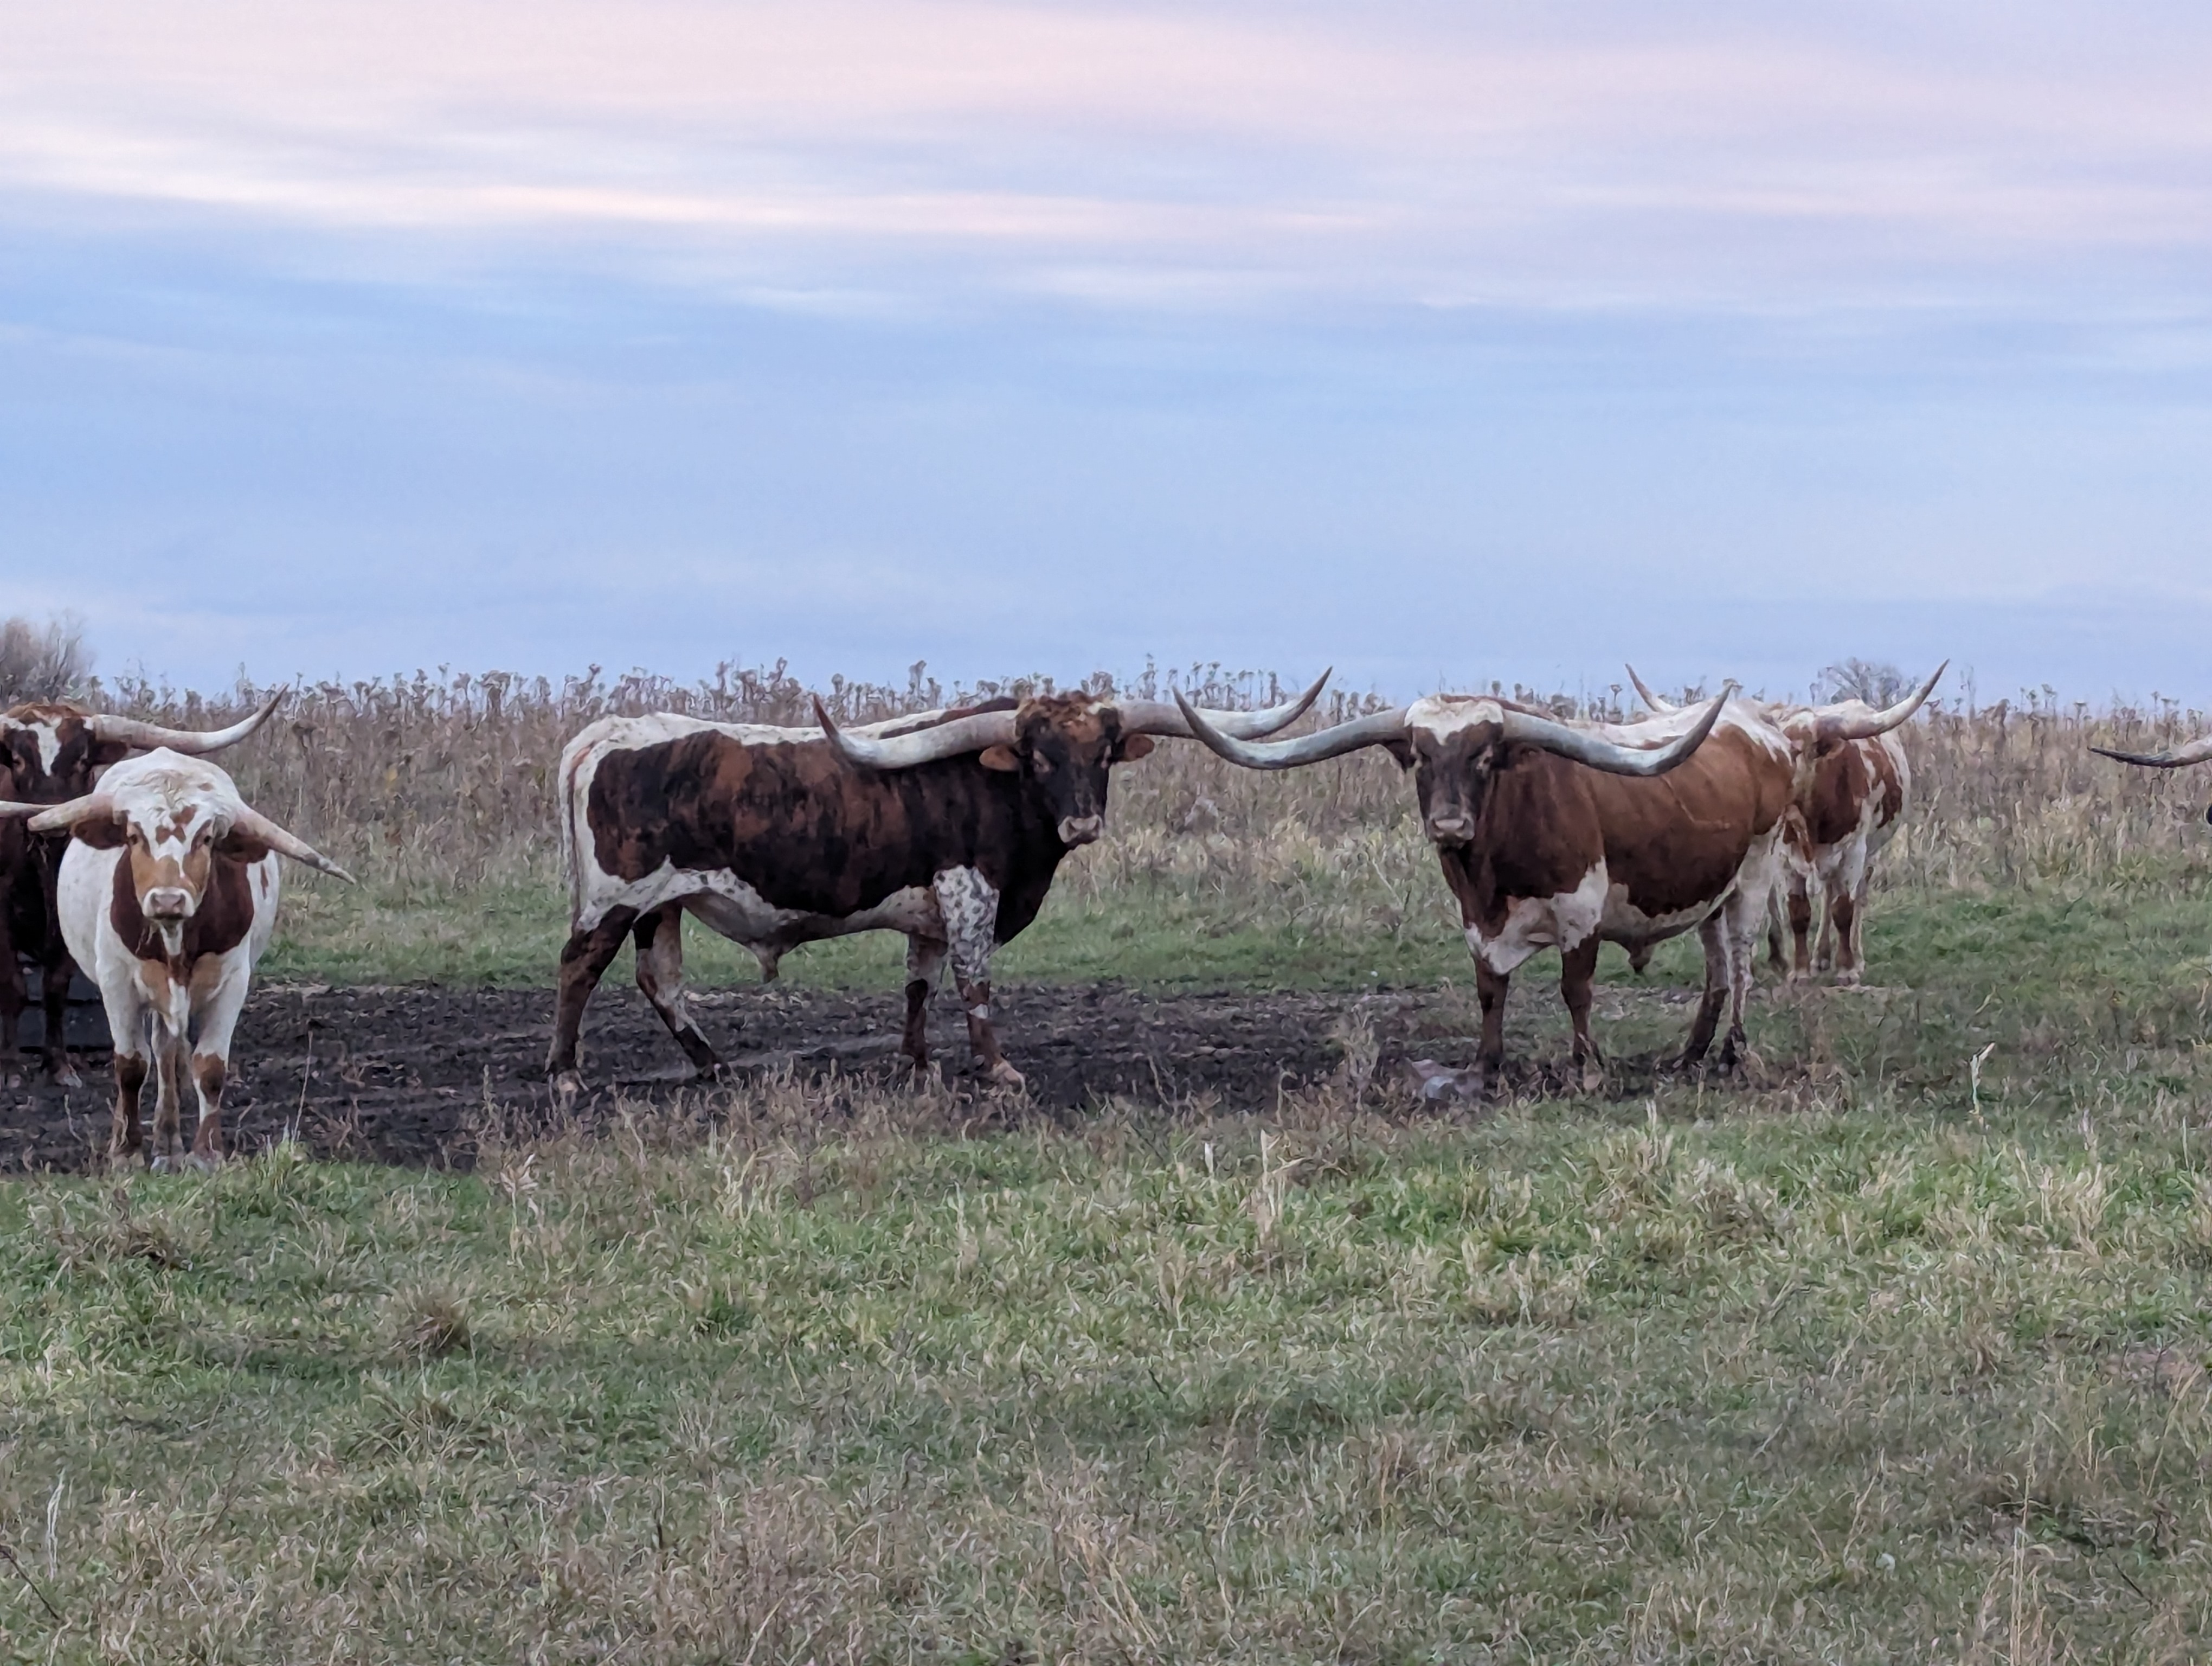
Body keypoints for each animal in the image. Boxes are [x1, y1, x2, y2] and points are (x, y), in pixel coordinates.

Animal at [0, 749, 353, 1168]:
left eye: (206, 838)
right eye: (134, 836)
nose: (167, 900)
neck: (174, 942)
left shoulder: (233, 982)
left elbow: (210, 1067)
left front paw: (207, 1153)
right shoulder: (116, 982)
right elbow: (130, 1065)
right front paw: (128, 1151)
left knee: (168, 1055)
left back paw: (169, 1144)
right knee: (155, 1055)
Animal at [1, 693, 285, 1084]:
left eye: (82, 760)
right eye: (17, 759)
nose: (49, 821)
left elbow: (55, 985)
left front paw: (58, 1064)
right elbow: (13, 987)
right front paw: (11, 1065)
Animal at [548, 674, 1330, 1095]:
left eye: (1102, 753)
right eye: (1037, 756)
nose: (1082, 822)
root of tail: (604, 734)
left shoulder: (928, 909)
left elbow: (918, 984)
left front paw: (917, 1063)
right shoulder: (969, 892)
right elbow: (972, 980)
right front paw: (997, 1068)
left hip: (663, 905)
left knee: (660, 979)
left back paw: (714, 1066)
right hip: (616, 898)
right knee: (579, 968)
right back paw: (564, 1073)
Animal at [1173, 685, 1806, 1094]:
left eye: (1483, 757)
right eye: (1420, 757)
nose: (1450, 825)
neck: (1490, 876)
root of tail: (1761, 731)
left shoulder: (1581, 914)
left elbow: (1576, 992)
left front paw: (1586, 1069)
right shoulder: (1477, 923)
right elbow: (1489, 992)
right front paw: (1485, 1067)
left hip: (1756, 874)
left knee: (1742, 963)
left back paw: (1732, 1054)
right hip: (1712, 890)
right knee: (1717, 968)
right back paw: (1690, 1054)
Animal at [1627, 665, 1946, 985]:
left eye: (1798, 751)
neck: (1815, 816)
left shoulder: (1853, 851)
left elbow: (1844, 909)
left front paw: (1846, 969)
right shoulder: (1787, 858)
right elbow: (1799, 911)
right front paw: (1801, 970)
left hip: (1869, 853)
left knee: (1854, 899)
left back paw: (1854, 957)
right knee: (1825, 894)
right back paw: (1819, 957)